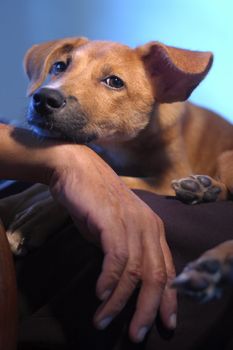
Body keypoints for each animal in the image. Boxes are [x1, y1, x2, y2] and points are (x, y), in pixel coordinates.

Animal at [0, 37, 233, 300]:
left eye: (114, 82)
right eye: (60, 66)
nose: (43, 98)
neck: (120, 147)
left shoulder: (169, 176)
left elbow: (116, 180)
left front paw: (36, 219)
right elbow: (36, 187)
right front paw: (11, 203)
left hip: (226, 159)